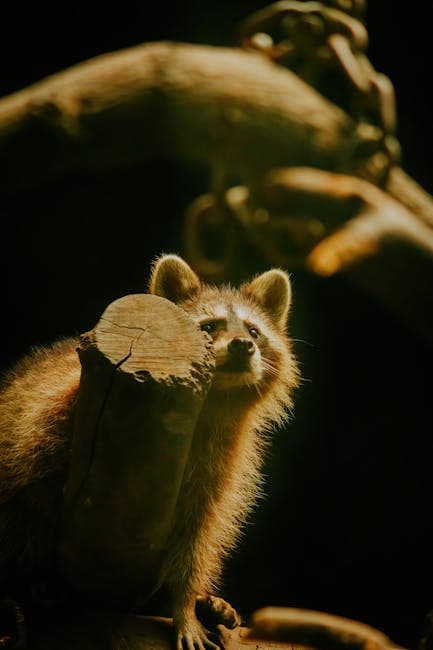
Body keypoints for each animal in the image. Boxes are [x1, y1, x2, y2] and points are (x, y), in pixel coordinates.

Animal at [0, 255, 299, 649]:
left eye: (254, 331)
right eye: (209, 326)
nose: (242, 346)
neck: (210, 401)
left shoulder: (221, 459)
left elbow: (198, 533)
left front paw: (184, 602)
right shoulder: (52, 416)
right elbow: (30, 491)